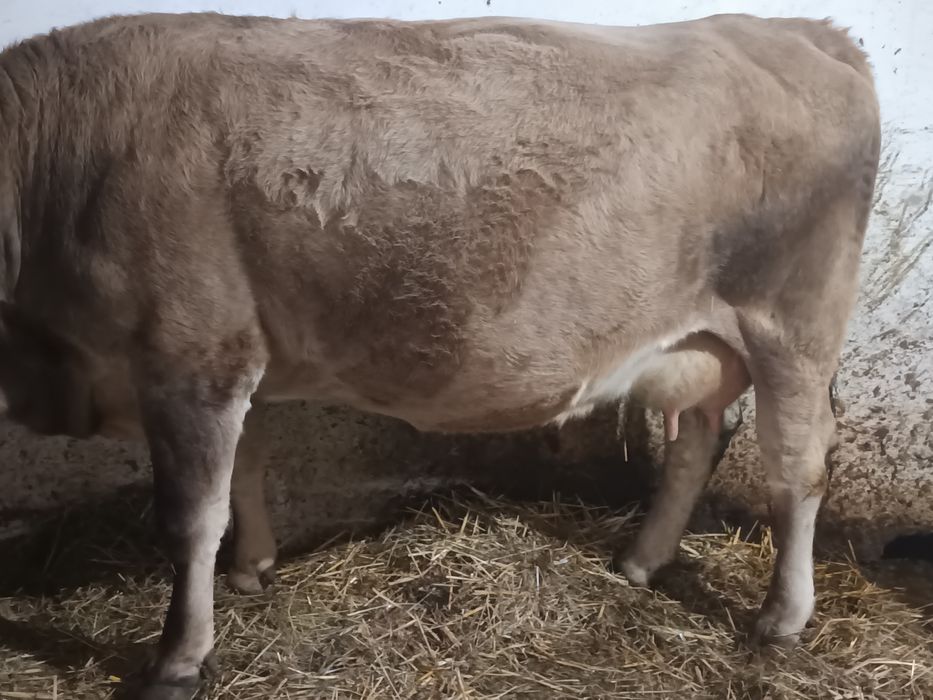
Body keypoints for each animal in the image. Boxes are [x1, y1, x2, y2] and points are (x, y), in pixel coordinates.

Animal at [0, 12, 879, 699]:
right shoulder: (235, 354)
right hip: (702, 340)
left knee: (797, 464)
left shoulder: (188, 356)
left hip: (791, 328)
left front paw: (179, 659)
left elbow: (189, 518)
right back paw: (641, 560)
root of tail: (797, 31)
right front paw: (254, 568)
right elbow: (247, 466)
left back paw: (779, 617)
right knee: (701, 435)